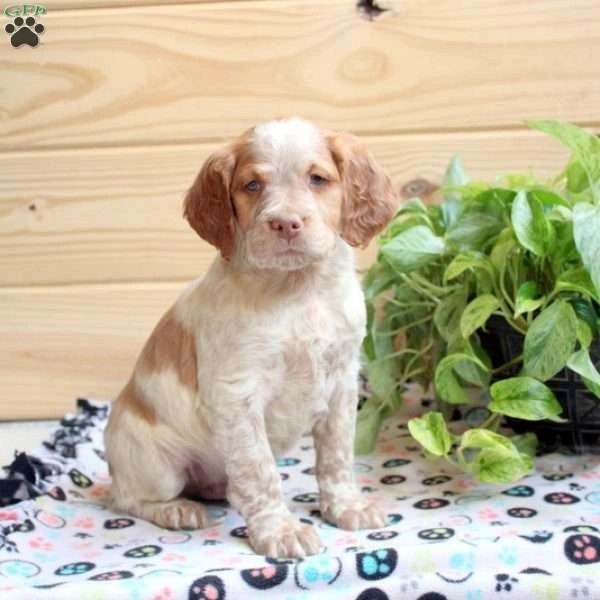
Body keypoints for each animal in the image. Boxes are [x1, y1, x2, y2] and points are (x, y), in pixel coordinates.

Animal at [104, 117, 398, 556]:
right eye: (252, 185)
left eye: (317, 179)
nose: (286, 223)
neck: (298, 290)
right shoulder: (236, 394)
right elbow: (260, 471)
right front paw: (282, 530)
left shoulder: (343, 381)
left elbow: (336, 456)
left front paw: (347, 506)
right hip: (156, 464)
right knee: (126, 498)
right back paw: (176, 510)